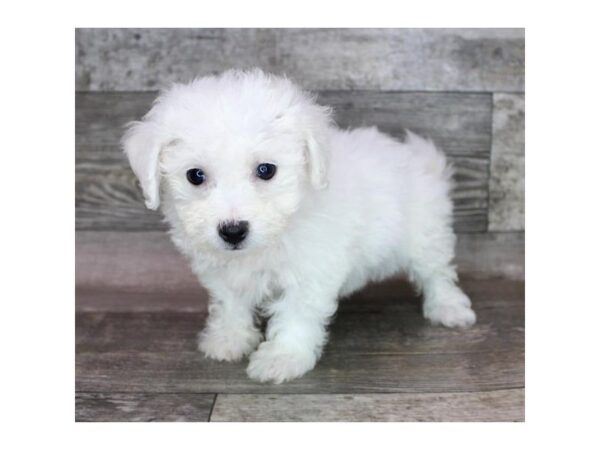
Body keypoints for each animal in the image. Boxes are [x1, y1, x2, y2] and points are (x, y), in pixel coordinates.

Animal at [123, 69, 478, 384]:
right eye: (195, 175)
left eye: (266, 170)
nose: (233, 231)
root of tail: (418, 158)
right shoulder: (222, 269)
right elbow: (230, 302)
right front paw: (229, 338)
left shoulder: (311, 269)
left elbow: (296, 312)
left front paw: (283, 357)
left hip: (425, 232)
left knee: (437, 272)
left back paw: (448, 307)